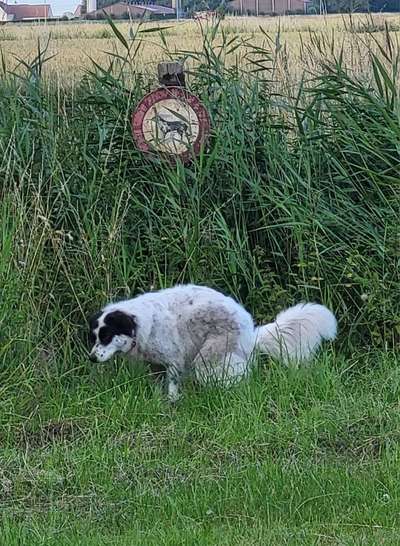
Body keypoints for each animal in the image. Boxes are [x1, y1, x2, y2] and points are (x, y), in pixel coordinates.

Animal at [88, 282, 338, 402]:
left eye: (106, 336)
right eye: (94, 337)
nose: (91, 358)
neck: (139, 324)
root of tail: (251, 330)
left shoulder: (174, 360)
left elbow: (172, 384)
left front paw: (172, 401)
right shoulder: (155, 364)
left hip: (209, 358)